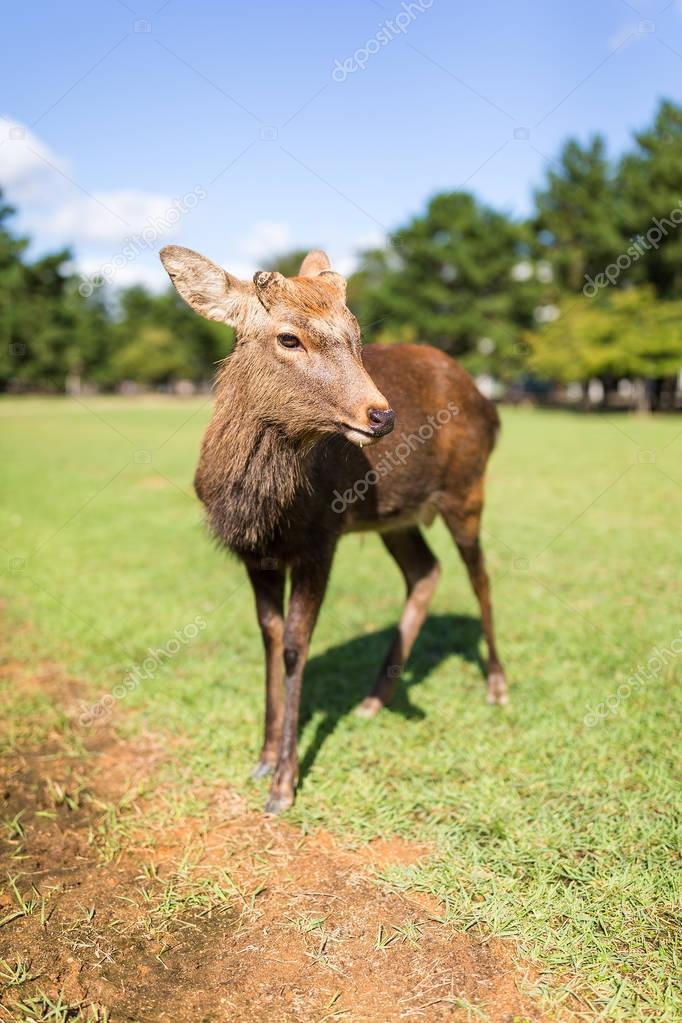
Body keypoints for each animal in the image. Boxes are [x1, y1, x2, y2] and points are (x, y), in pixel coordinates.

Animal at [157, 243, 505, 810]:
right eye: (288, 337)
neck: (262, 507)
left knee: (480, 577)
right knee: (425, 571)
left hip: (467, 488)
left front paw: (283, 784)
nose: (382, 416)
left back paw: (497, 686)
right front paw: (262, 758)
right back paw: (373, 699)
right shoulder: (255, 553)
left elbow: (297, 645)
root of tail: (491, 406)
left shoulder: (322, 537)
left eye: (356, 335)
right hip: (395, 517)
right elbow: (270, 637)